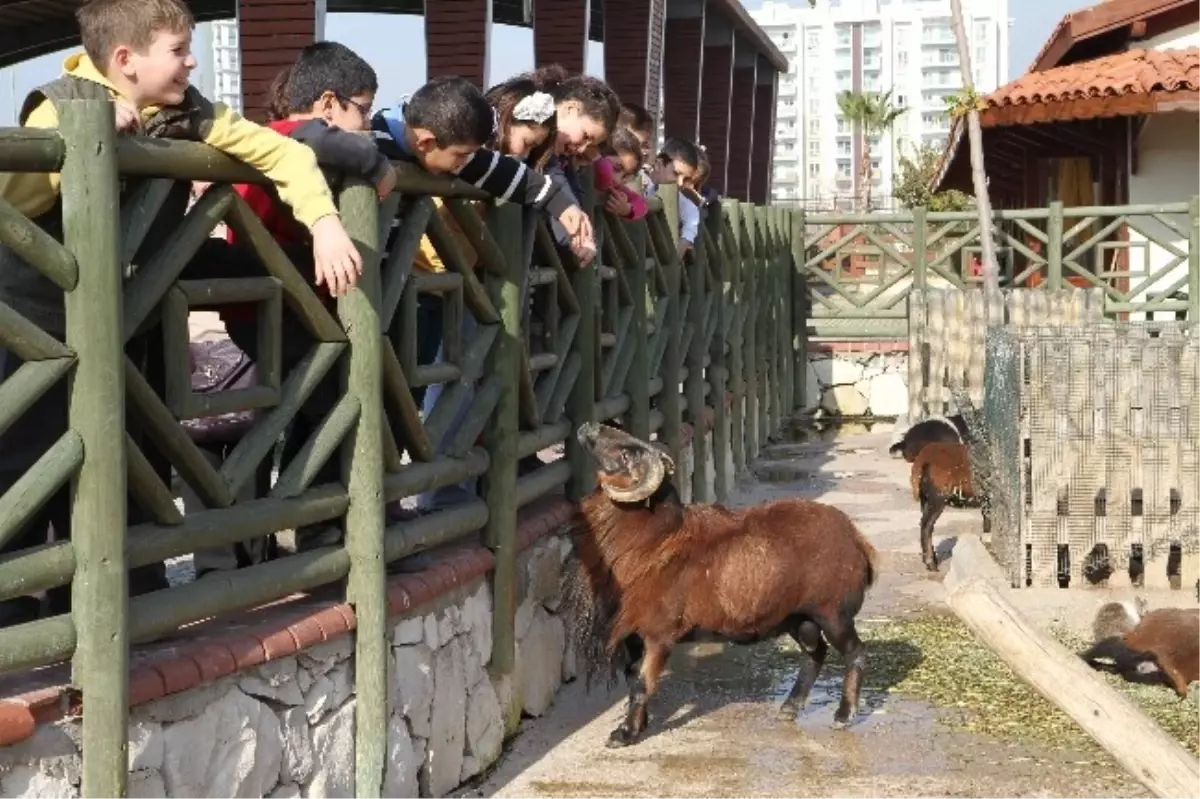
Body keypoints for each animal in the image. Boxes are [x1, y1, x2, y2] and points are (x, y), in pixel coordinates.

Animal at [566, 419, 878, 743]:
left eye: (626, 454)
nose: (590, 426)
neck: (652, 538)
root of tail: (857, 539)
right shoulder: (632, 634)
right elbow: (632, 682)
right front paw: (638, 726)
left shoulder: (658, 632)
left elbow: (641, 685)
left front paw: (624, 735)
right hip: (799, 619)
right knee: (815, 654)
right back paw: (789, 709)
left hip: (833, 614)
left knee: (855, 653)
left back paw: (843, 716)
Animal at [912, 439, 988, 568]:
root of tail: (923, 460)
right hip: (937, 496)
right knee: (926, 525)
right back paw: (931, 563)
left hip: (925, 498)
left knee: (926, 524)